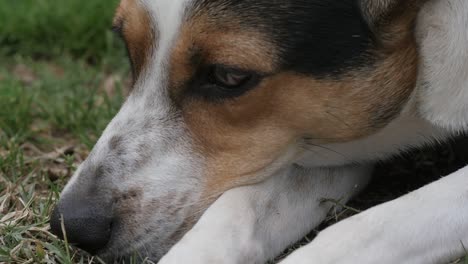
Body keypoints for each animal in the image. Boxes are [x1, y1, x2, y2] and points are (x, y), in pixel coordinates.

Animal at [49, 0, 466, 262]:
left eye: (229, 75)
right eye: (126, 46)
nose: (73, 225)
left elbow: (363, 230)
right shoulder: (309, 142)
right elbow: (236, 209)